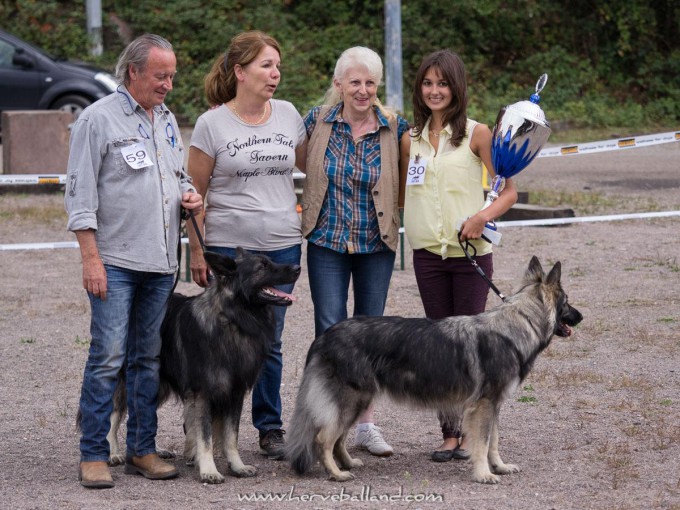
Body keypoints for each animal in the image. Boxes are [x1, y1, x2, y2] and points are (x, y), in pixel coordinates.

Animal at [286, 256, 584, 484]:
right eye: (567, 301)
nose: (581, 317)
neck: (519, 324)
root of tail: (325, 336)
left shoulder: (494, 405)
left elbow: (494, 441)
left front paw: (499, 466)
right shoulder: (484, 405)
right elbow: (483, 442)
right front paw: (484, 474)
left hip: (359, 401)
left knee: (339, 438)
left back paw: (348, 463)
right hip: (351, 400)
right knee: (324, 438)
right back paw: (336, 474)